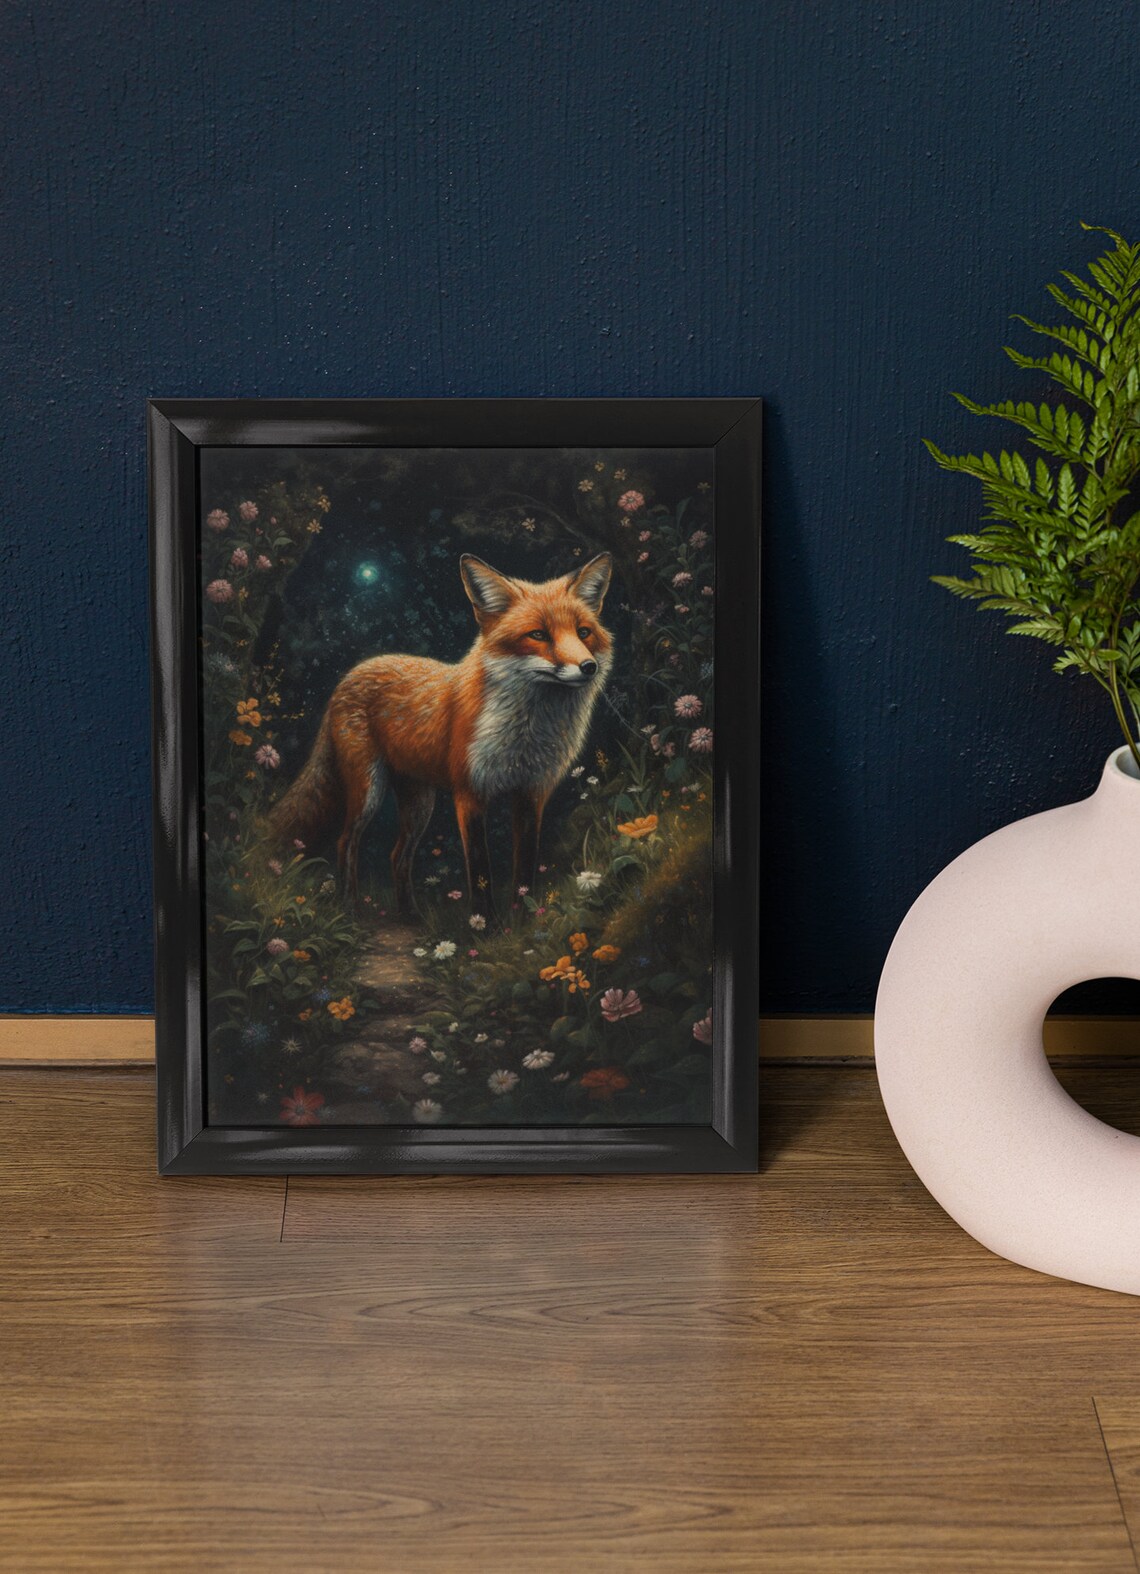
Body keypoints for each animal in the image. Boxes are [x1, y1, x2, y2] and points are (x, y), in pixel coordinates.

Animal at [268, 551, 614, 919]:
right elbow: (479, 870)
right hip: (368, 791)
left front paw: (522, 921)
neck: (527, 736)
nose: (588, 667)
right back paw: (349, 909)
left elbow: (524, 869)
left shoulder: (532, 794)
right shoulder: (469, 793)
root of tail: (352, 673)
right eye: (538, 634)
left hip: (420, 803)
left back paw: (410, 915)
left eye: (584, 632)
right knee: (346, 841)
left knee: (397, 855)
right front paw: (486, 925)